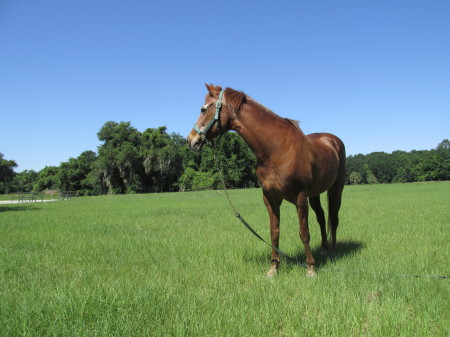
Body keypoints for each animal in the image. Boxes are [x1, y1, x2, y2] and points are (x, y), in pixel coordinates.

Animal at [185, 84, 344, 276]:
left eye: (203, 109)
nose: (191, 140)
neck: (277, 150)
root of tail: (331, 139)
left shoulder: (300, 197)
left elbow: (304, 232)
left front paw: (310, 268)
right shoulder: (270, 198)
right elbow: (274, 232)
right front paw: (273, 268)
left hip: (336, 188)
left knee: (333, 217)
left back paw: (333, 250)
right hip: (314, 194)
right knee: (321, 217)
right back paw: (324, 248)